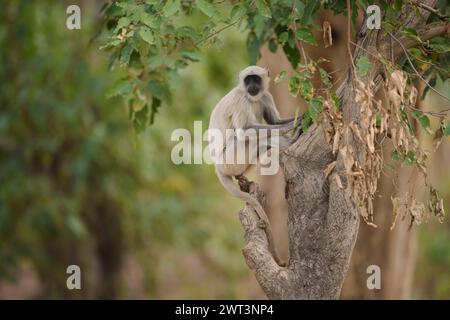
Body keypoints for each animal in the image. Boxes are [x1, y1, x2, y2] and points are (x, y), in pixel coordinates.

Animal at [208, 64, 302, 264]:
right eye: (247, 80)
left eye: (255, 80)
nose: (251, 86)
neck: (251, 96)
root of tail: (217, 166)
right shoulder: (240, 99)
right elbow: (246, 130)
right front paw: (296, 123)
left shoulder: (265, 95)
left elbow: (274, 121)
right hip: (230, 159)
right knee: (245, 136)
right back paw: (290, 141)